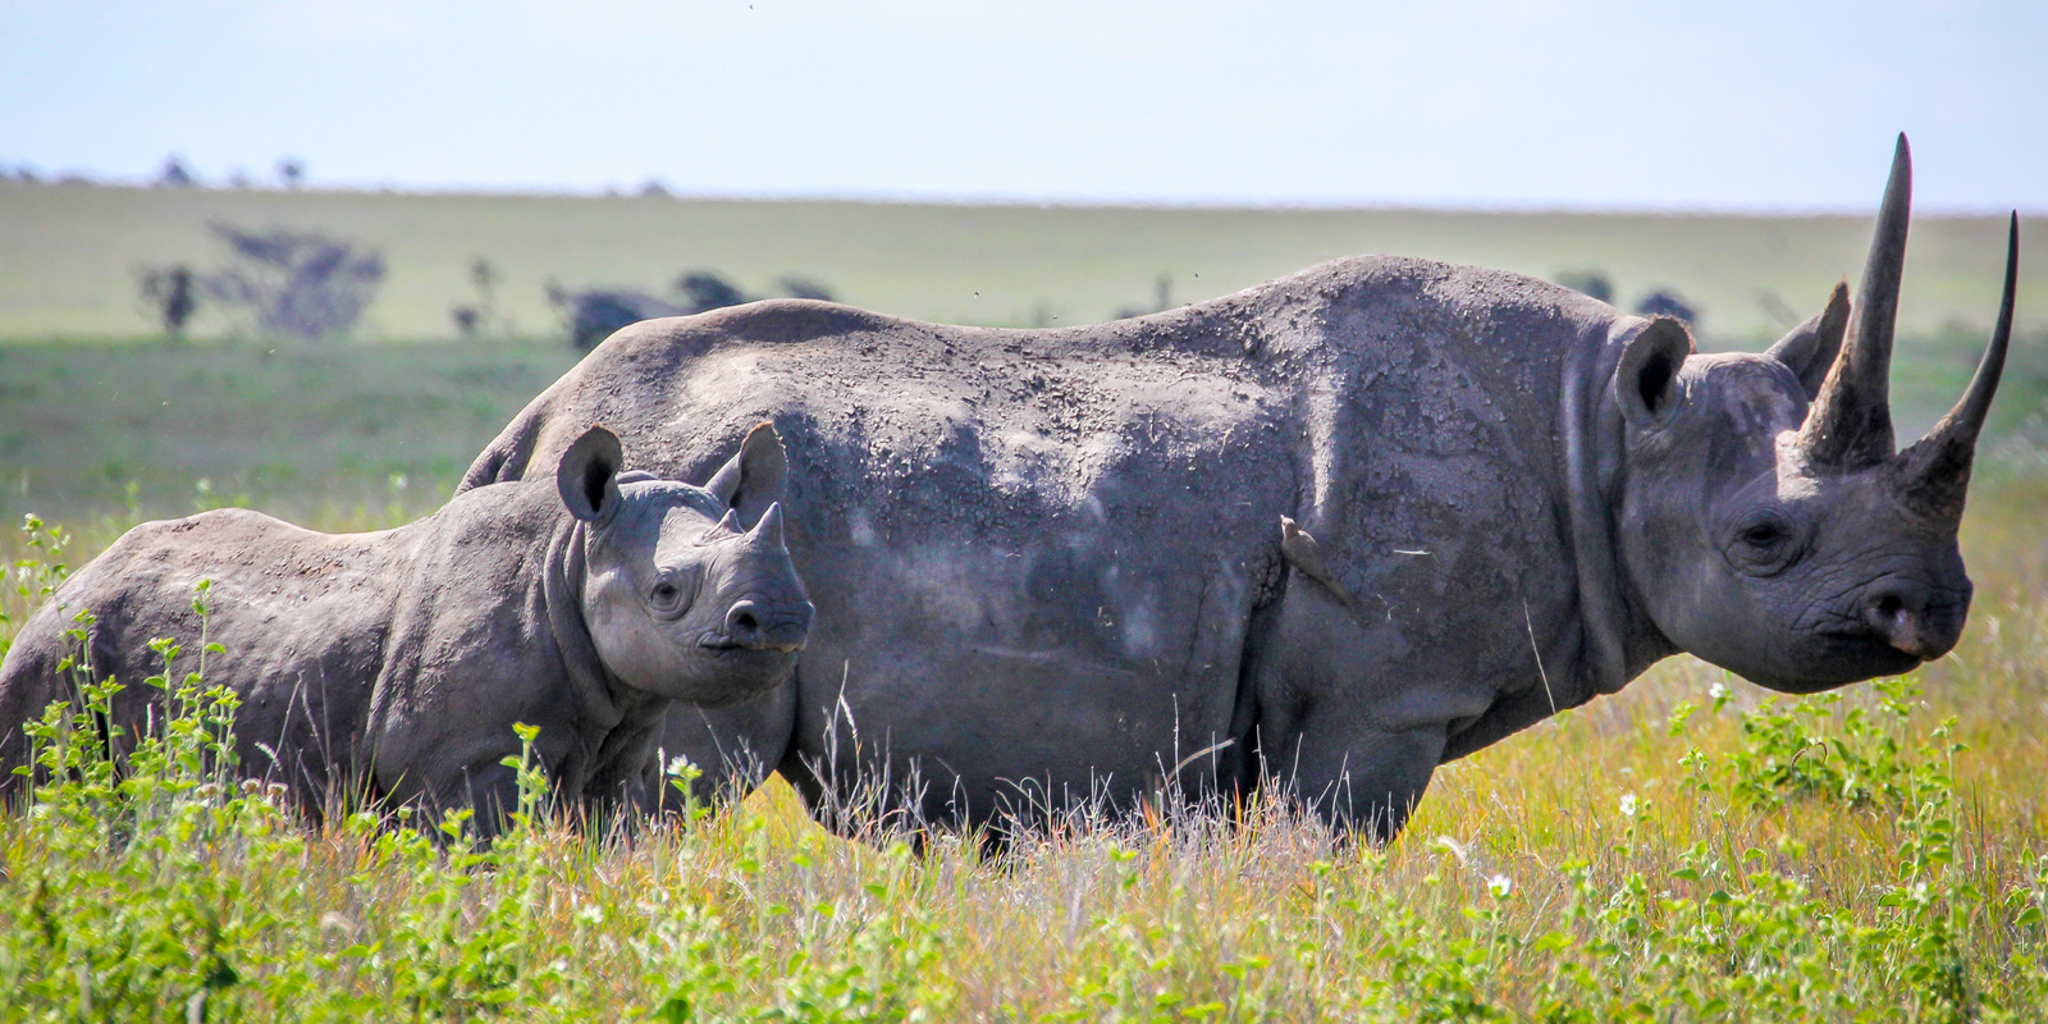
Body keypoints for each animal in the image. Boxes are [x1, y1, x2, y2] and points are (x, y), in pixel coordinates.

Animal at [0, 424, 813, 830]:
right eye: (666, 591)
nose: (781, 620)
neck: (571, 554)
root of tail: (70, 582)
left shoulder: (619, 758)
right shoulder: (464, 767)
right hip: (58, 650)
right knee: (41, 784)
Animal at [460, 137, 2017, 840]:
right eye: (1762, 537)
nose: (1929, 613)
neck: (1601, 434)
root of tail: (535, 428)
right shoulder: (1386, 702)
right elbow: (1327, 855)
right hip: (677, 563)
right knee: (658, 796)